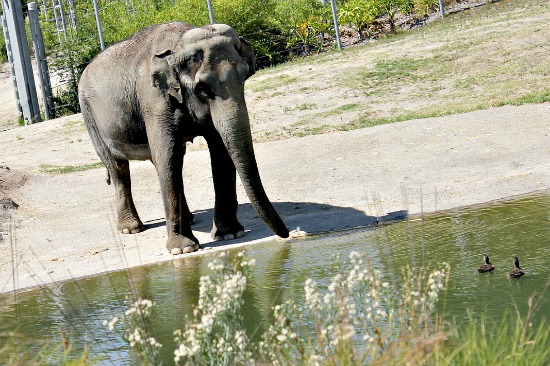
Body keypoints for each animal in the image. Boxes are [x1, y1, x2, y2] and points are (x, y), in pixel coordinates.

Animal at [79, 22, 292, 254]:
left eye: (245, 76)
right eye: (203, 88)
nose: (287, 235)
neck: (179, 42)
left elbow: (220, 151)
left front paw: (230, 234)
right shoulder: (155, 101)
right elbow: (167, 156)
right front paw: (183, 250)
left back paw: (189, 219)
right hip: (90, 116)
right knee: (118, 167)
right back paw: (131, 228)